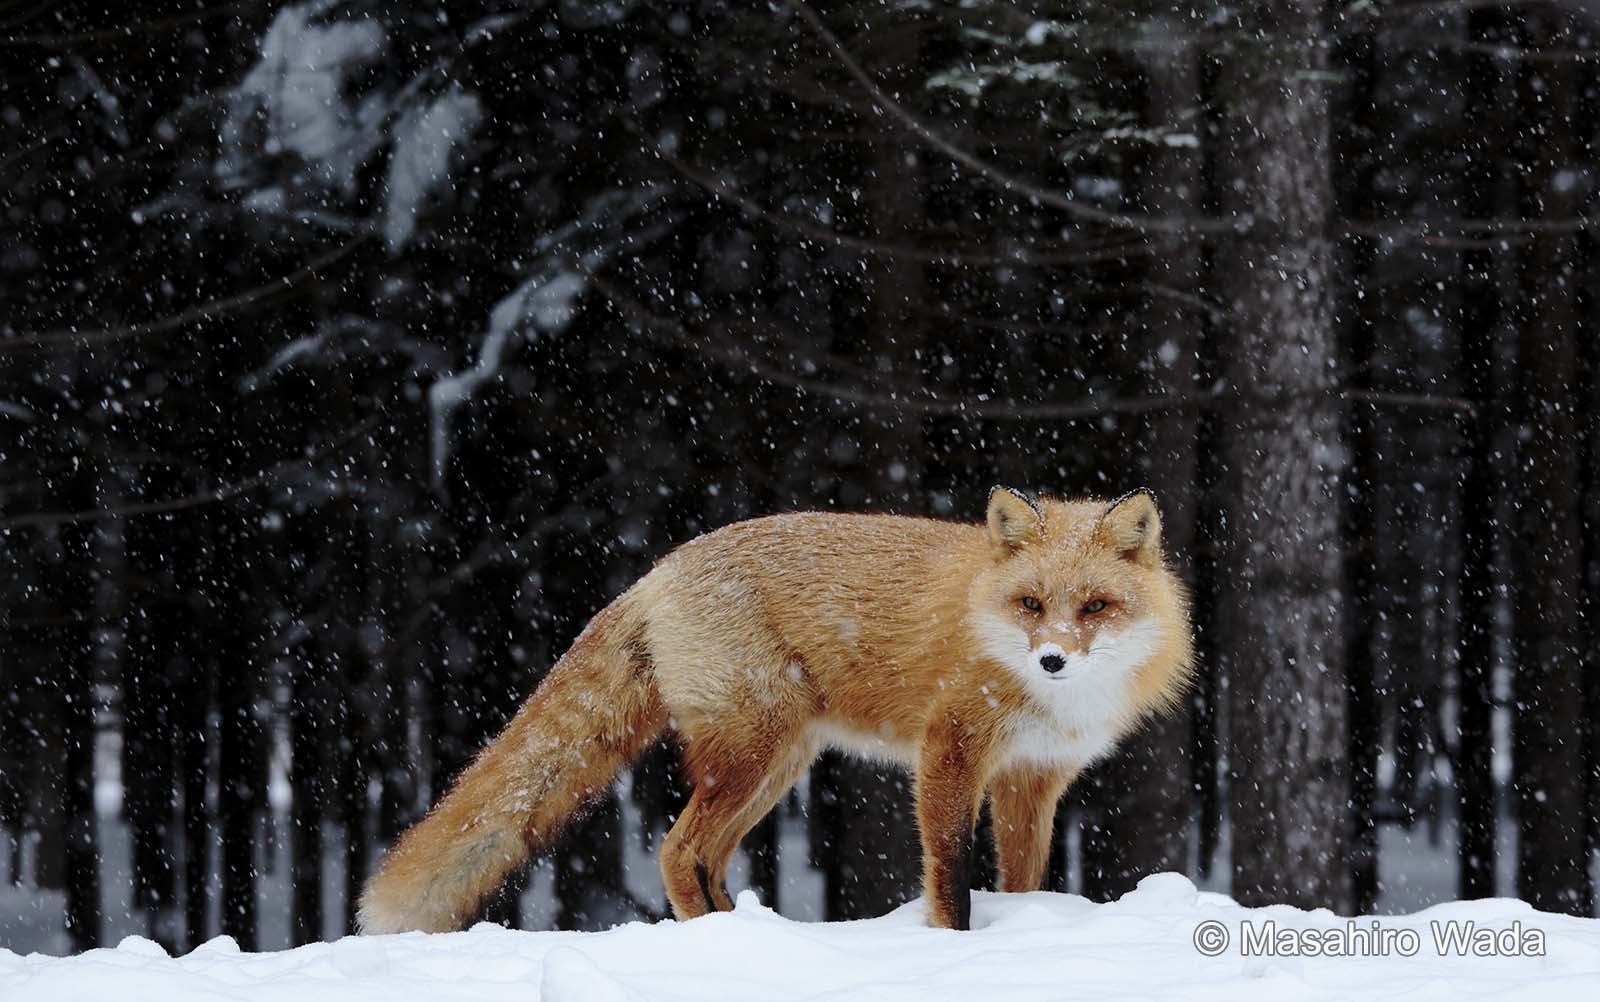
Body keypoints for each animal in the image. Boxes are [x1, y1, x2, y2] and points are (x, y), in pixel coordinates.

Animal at [356, 483, 1196, 928]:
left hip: (777, 766)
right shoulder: (949, 750)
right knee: (674, 851)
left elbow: (1022, 882)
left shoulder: (1033, 778)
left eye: (1095, 607)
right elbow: (951, 876)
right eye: (1030, 604)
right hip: (753, 751)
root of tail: (655, 572)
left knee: (703, 857)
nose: (1052, 659)